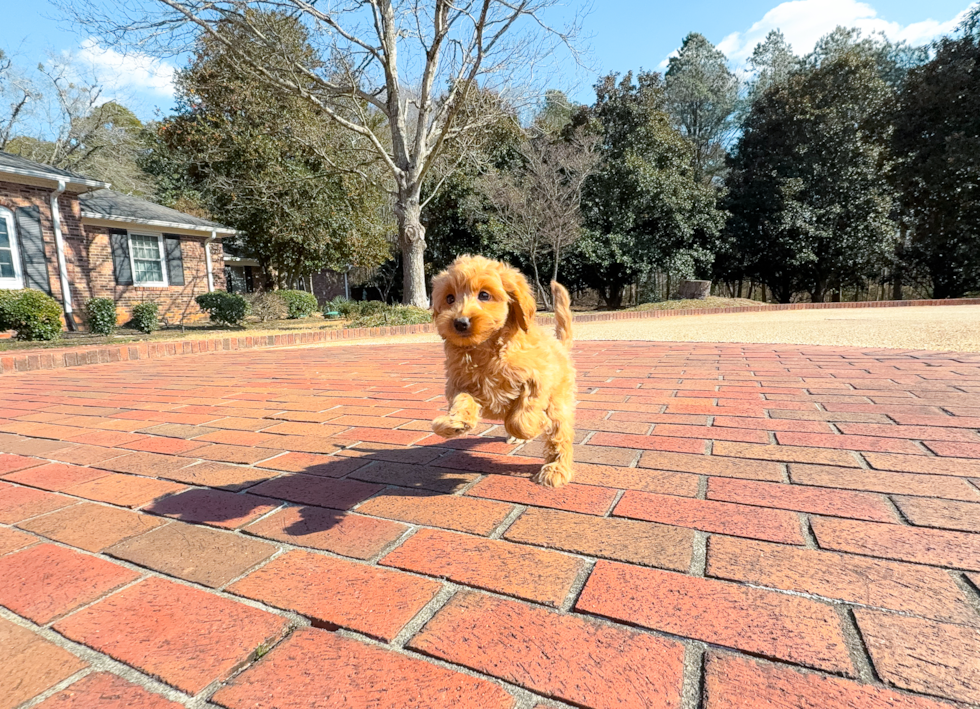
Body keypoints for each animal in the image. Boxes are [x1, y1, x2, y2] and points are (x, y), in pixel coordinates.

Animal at [428, 256, 576, 486]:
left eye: (484, 295)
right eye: (450, 298)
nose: (460, 322)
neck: (485, 349)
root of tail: (560, 346)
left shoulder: (538, 379)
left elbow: (521, 416)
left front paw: (535, 426)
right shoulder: (458, 383)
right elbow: (462, 400)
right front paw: (453, 423)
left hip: (558, 400)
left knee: (560, 435)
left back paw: (555, 470)